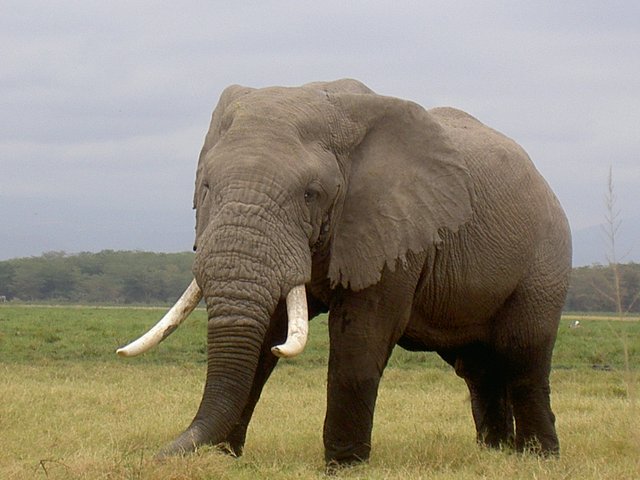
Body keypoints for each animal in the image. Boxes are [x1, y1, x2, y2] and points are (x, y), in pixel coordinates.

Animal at [119, 79, 568, 468]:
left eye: (310, 194)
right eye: (207, 187)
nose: (152, 456)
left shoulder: (392, 227)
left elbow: (362, 336)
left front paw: (344, 465)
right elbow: (265, 333)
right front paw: (226, 458)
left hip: (545, 260)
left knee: (524, 353)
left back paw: (538, 458)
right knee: (478, 368)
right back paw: (494, 454)